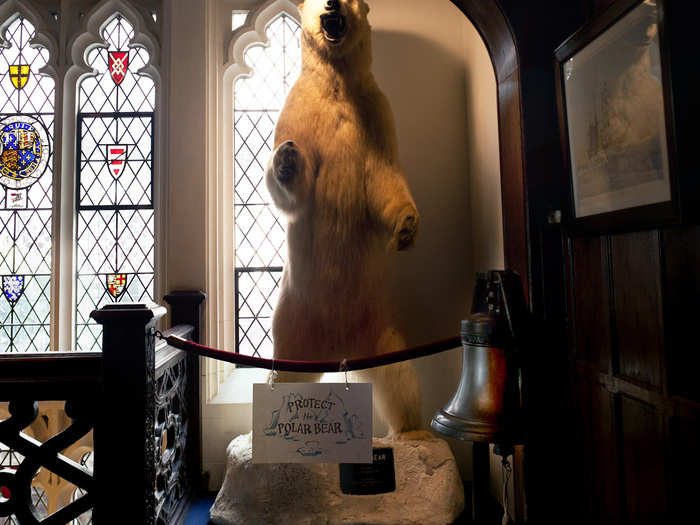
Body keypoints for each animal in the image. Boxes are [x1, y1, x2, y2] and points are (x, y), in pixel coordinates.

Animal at [266, 0, 422, 436]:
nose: (333, 3)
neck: (336, 85)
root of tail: (339, 352)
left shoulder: (376, 111)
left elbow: (385, 176)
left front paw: (406, 227)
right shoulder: (298, 106)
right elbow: (296, 190)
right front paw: (286, 159)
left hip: (379, 329)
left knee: (399, 376)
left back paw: (410, 431)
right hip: (292, 322)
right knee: (284, 376)